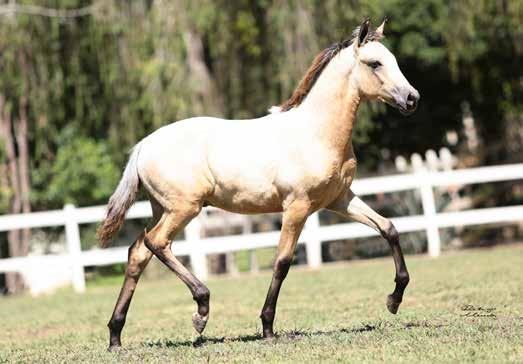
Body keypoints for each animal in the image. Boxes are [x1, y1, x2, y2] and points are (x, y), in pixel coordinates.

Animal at [98, 17, 422, 350]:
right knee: (156, 242)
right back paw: (201, 309)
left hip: (162, 208)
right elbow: (282, 261)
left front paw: (394, 300)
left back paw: (115, 335)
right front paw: (267, 327)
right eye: (374, 63)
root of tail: (143, 146)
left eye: (393, 59)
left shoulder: (339, 199)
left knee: (138, 252)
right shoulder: (297, 207)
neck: (316, 133)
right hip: (184, 208)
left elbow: (389, 228)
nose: (412, 99)